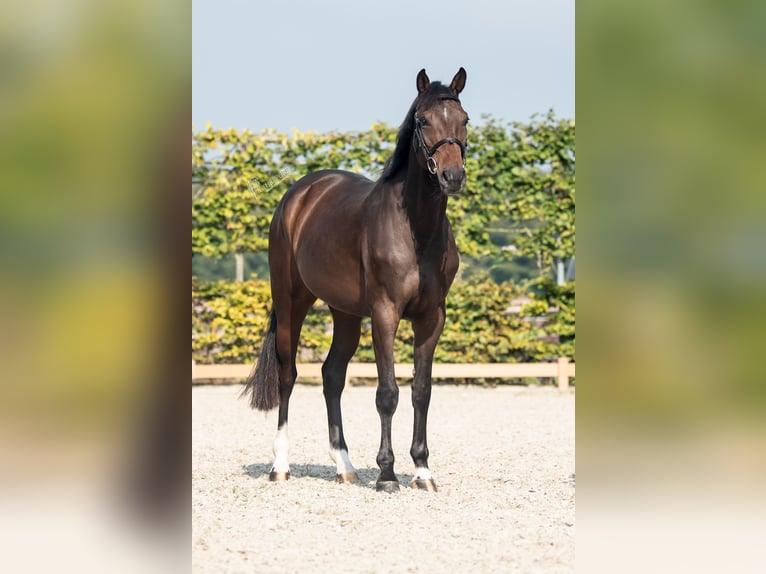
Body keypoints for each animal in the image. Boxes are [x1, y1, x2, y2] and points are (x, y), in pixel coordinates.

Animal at [243, 65, 468, 492]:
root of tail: (299, 195)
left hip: (344, 312)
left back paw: (344, 465)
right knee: (287, 374)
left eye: (464, 120)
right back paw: (280, 465)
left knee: (331, 374)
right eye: (423, 120)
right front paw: (386, 474)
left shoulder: (432, 318)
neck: (416, 230)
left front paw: (423, 471)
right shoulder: (385, 313)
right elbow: (387, 392)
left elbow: (421, 390)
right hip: (290, 300)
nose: (452, 176)